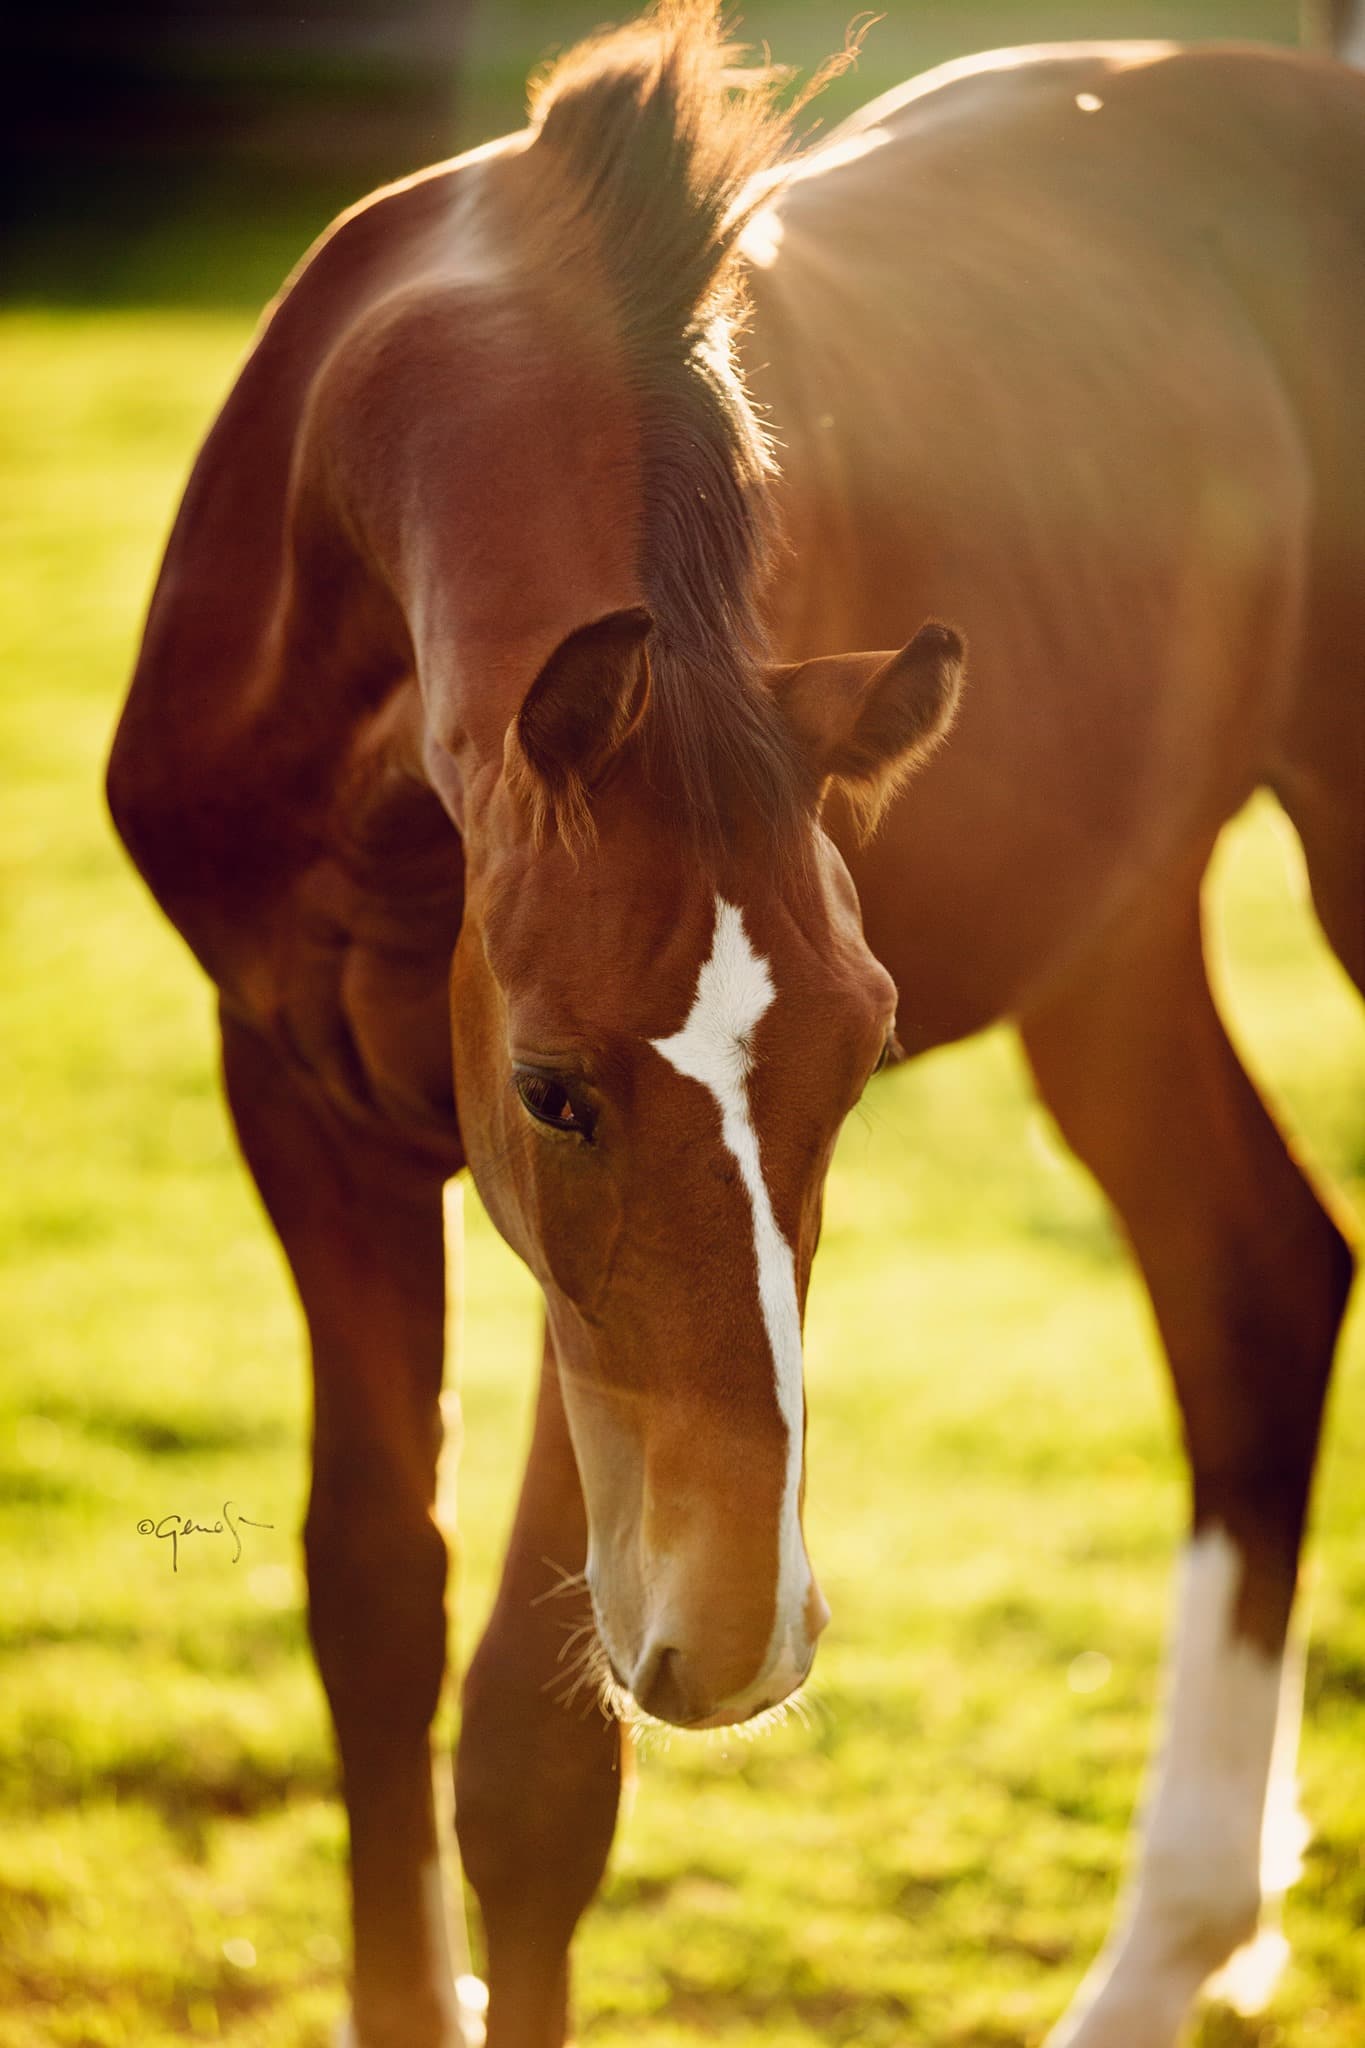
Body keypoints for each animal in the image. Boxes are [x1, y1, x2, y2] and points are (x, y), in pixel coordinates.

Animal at [106, 6, 1365, 2044]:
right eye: (554, 1091)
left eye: (857, 1073)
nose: (744, 1636)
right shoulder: (300, 1102)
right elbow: (372, 1609)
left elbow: (535, 1766)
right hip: (1112, 936)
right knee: (1253, 1285)